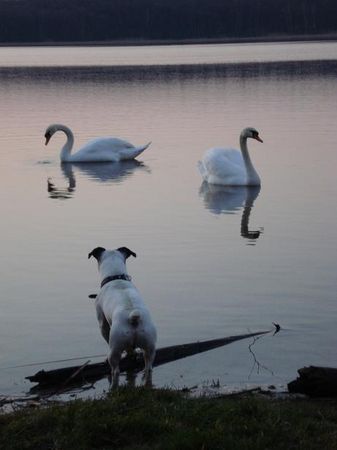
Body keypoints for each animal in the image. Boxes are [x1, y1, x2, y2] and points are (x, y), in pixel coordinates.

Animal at [89, 246, 158, 386]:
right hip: (150, 347)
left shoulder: (103, 324)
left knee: (115, 370)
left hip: (115, 349)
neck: (116, 277)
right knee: (148, 367)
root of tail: (134, 318)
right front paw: (131, 353)